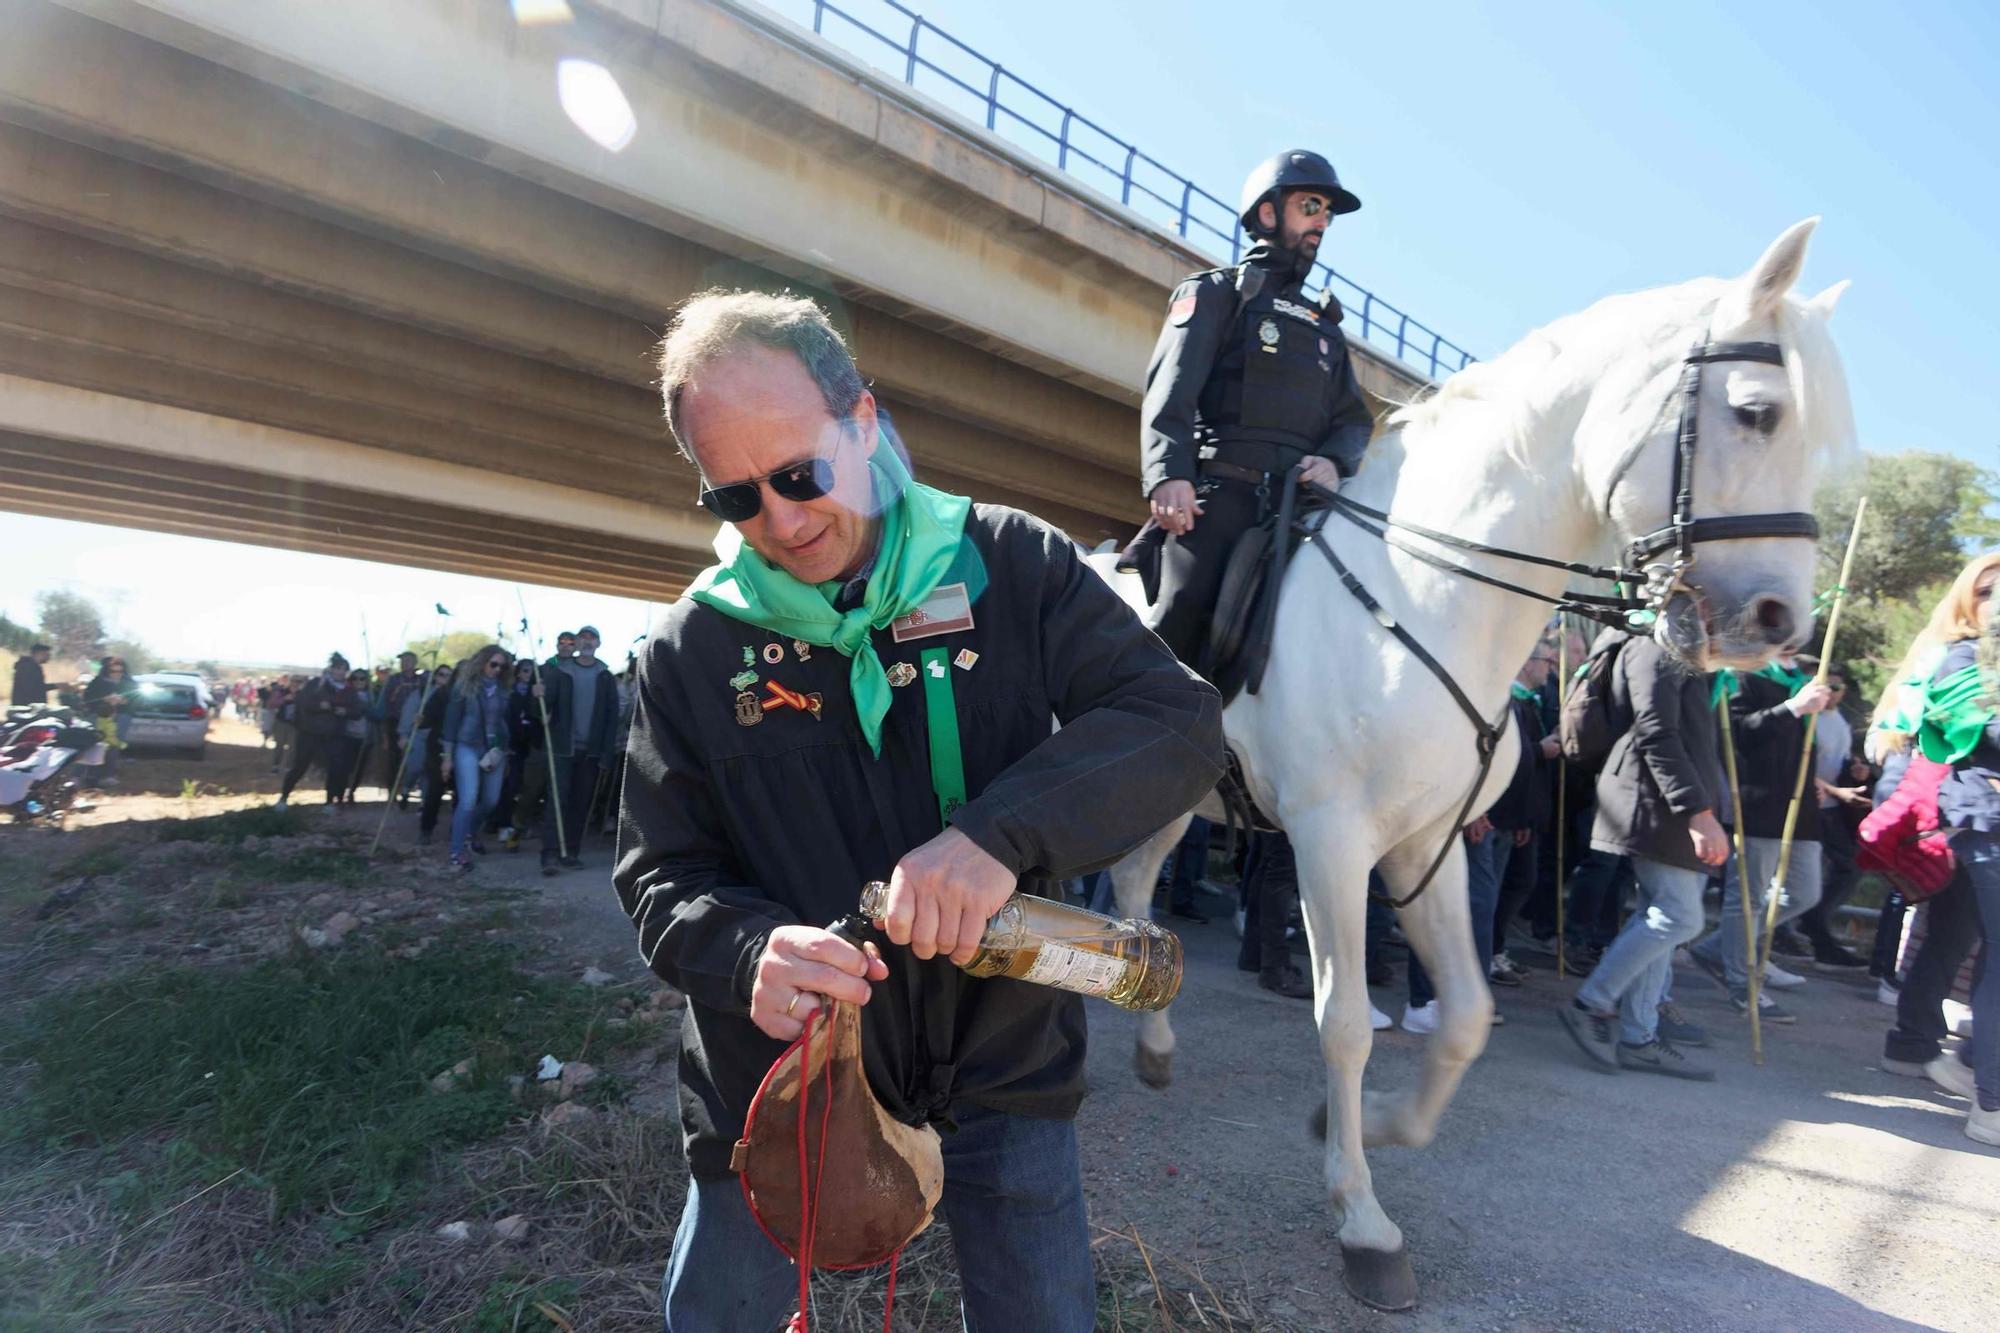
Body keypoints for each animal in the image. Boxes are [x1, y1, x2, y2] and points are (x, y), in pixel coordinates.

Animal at [1096, 220, 1856, 1304]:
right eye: (1758, 412)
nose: (1779, 621)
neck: (1423, 591)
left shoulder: (1430, 844)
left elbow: (1464, 1017)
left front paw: (1362, 1125)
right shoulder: (1334, 842)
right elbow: (1346, 1019)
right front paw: (1362, 1219)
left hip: (1175, 797)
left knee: (1131, 885)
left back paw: (1152, 1044)